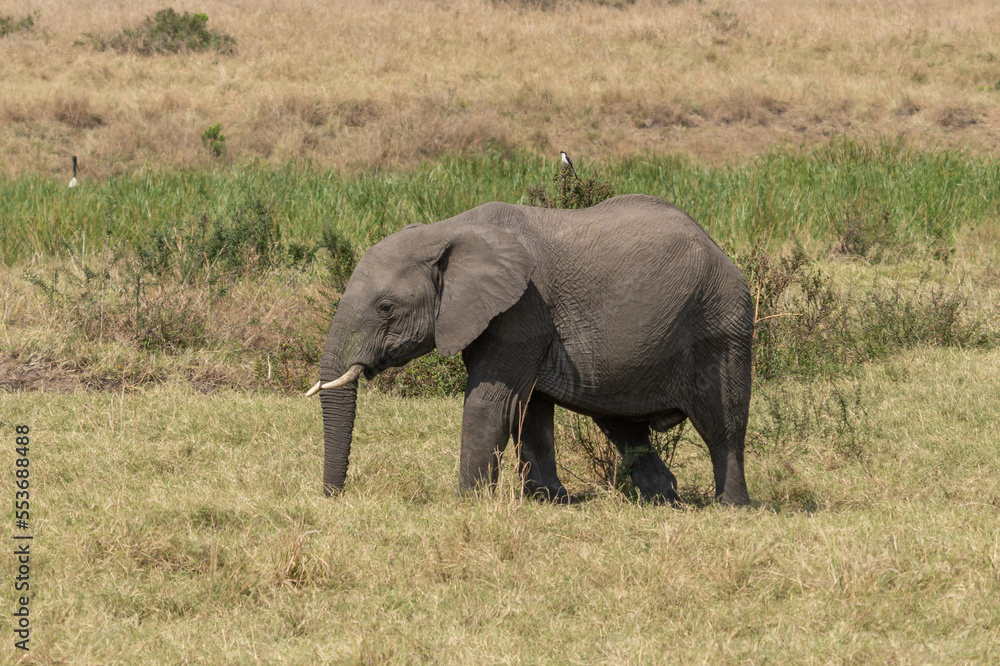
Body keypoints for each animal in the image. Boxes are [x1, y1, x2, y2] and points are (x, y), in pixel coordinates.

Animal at [308, 192, 752, 504]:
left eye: (386, 308)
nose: (333, 498)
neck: (448, 230)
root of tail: (718, 247)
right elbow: (528, 408)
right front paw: (549, 500)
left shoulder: (522, 308)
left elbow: (493, 402)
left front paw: (466, 503)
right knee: (624, 427)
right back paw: (663, 500)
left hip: (721, 323)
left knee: (722, 424)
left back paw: (731, 506)